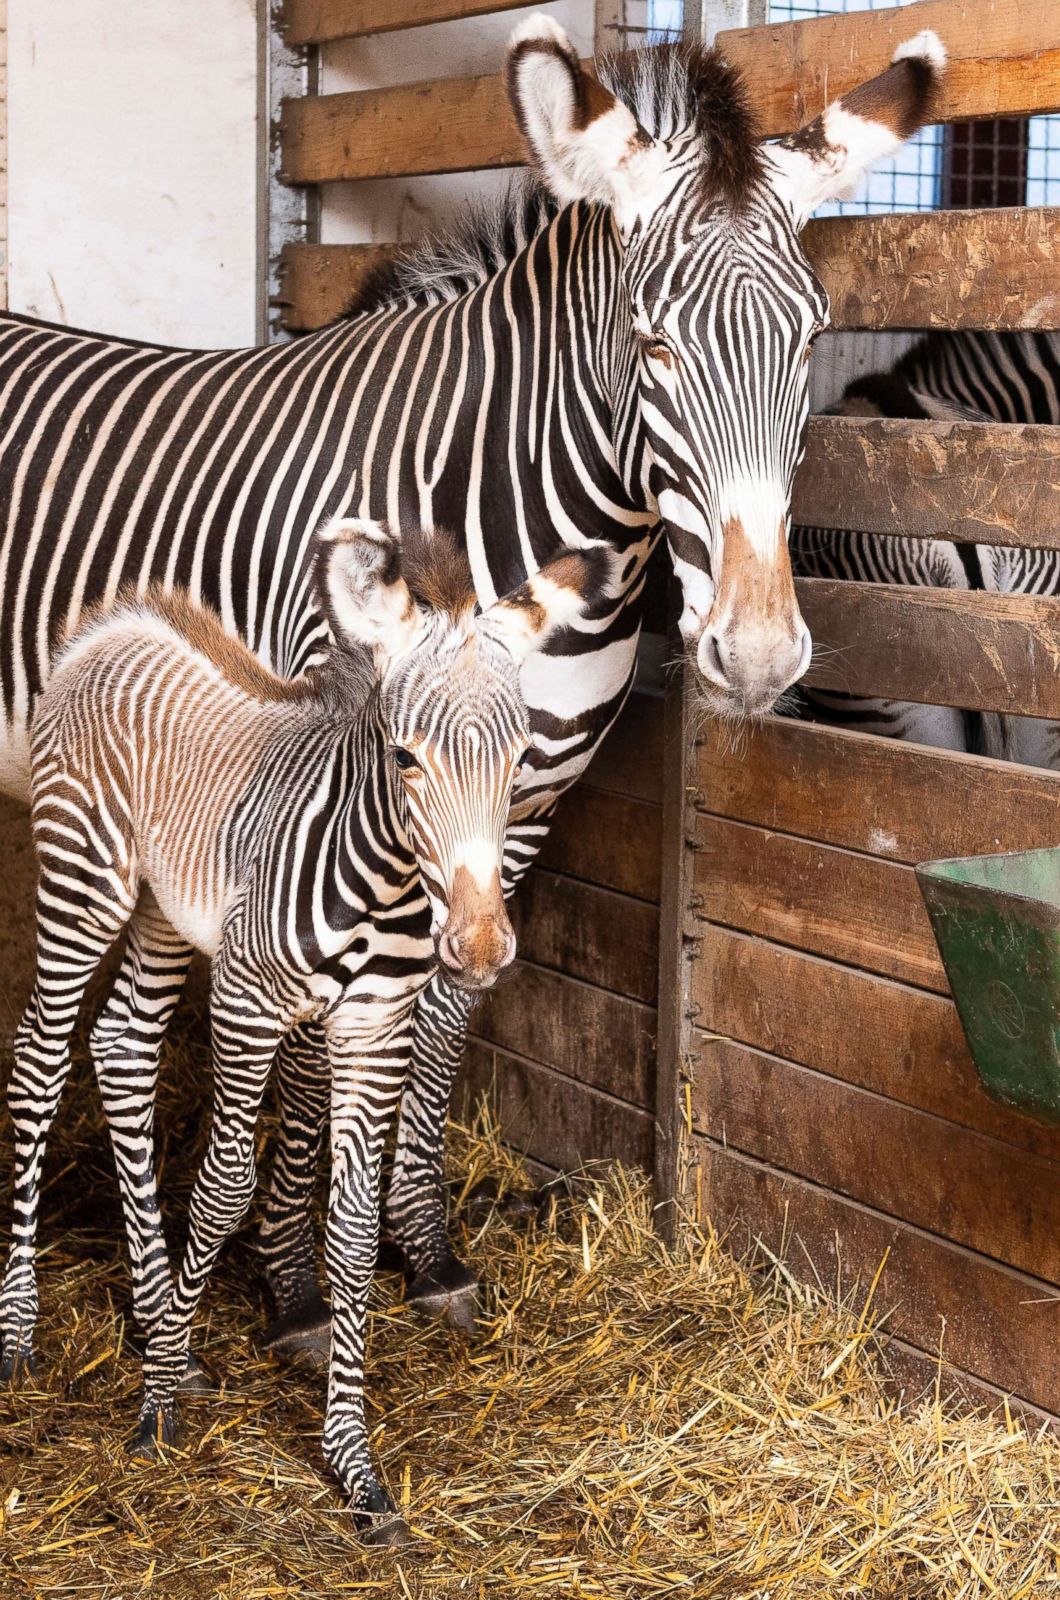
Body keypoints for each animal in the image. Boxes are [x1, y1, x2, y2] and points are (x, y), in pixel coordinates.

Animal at [0, 18, 947, 1350]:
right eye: (651, 342)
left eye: (811, 338)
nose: (758, 656)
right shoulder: (329, 794)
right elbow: (317, 1051)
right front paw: (295, 1283)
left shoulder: (525, 796)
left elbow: (448, 1017)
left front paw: (426, 1248)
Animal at [0, 518, 611, 1542]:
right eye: (405, 759)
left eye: (521, 756)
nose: (482, 947)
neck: (378, 879)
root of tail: (111, 626)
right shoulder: (248, 1005)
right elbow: (225, 1189)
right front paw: (156, 1409)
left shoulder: (375, 1031)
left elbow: (354, 1230)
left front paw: (354, 1466)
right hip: (82, 880)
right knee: (40, 1064)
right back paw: (23, 1332)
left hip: (165, 909)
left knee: (121, 1044)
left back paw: (159, 1322)